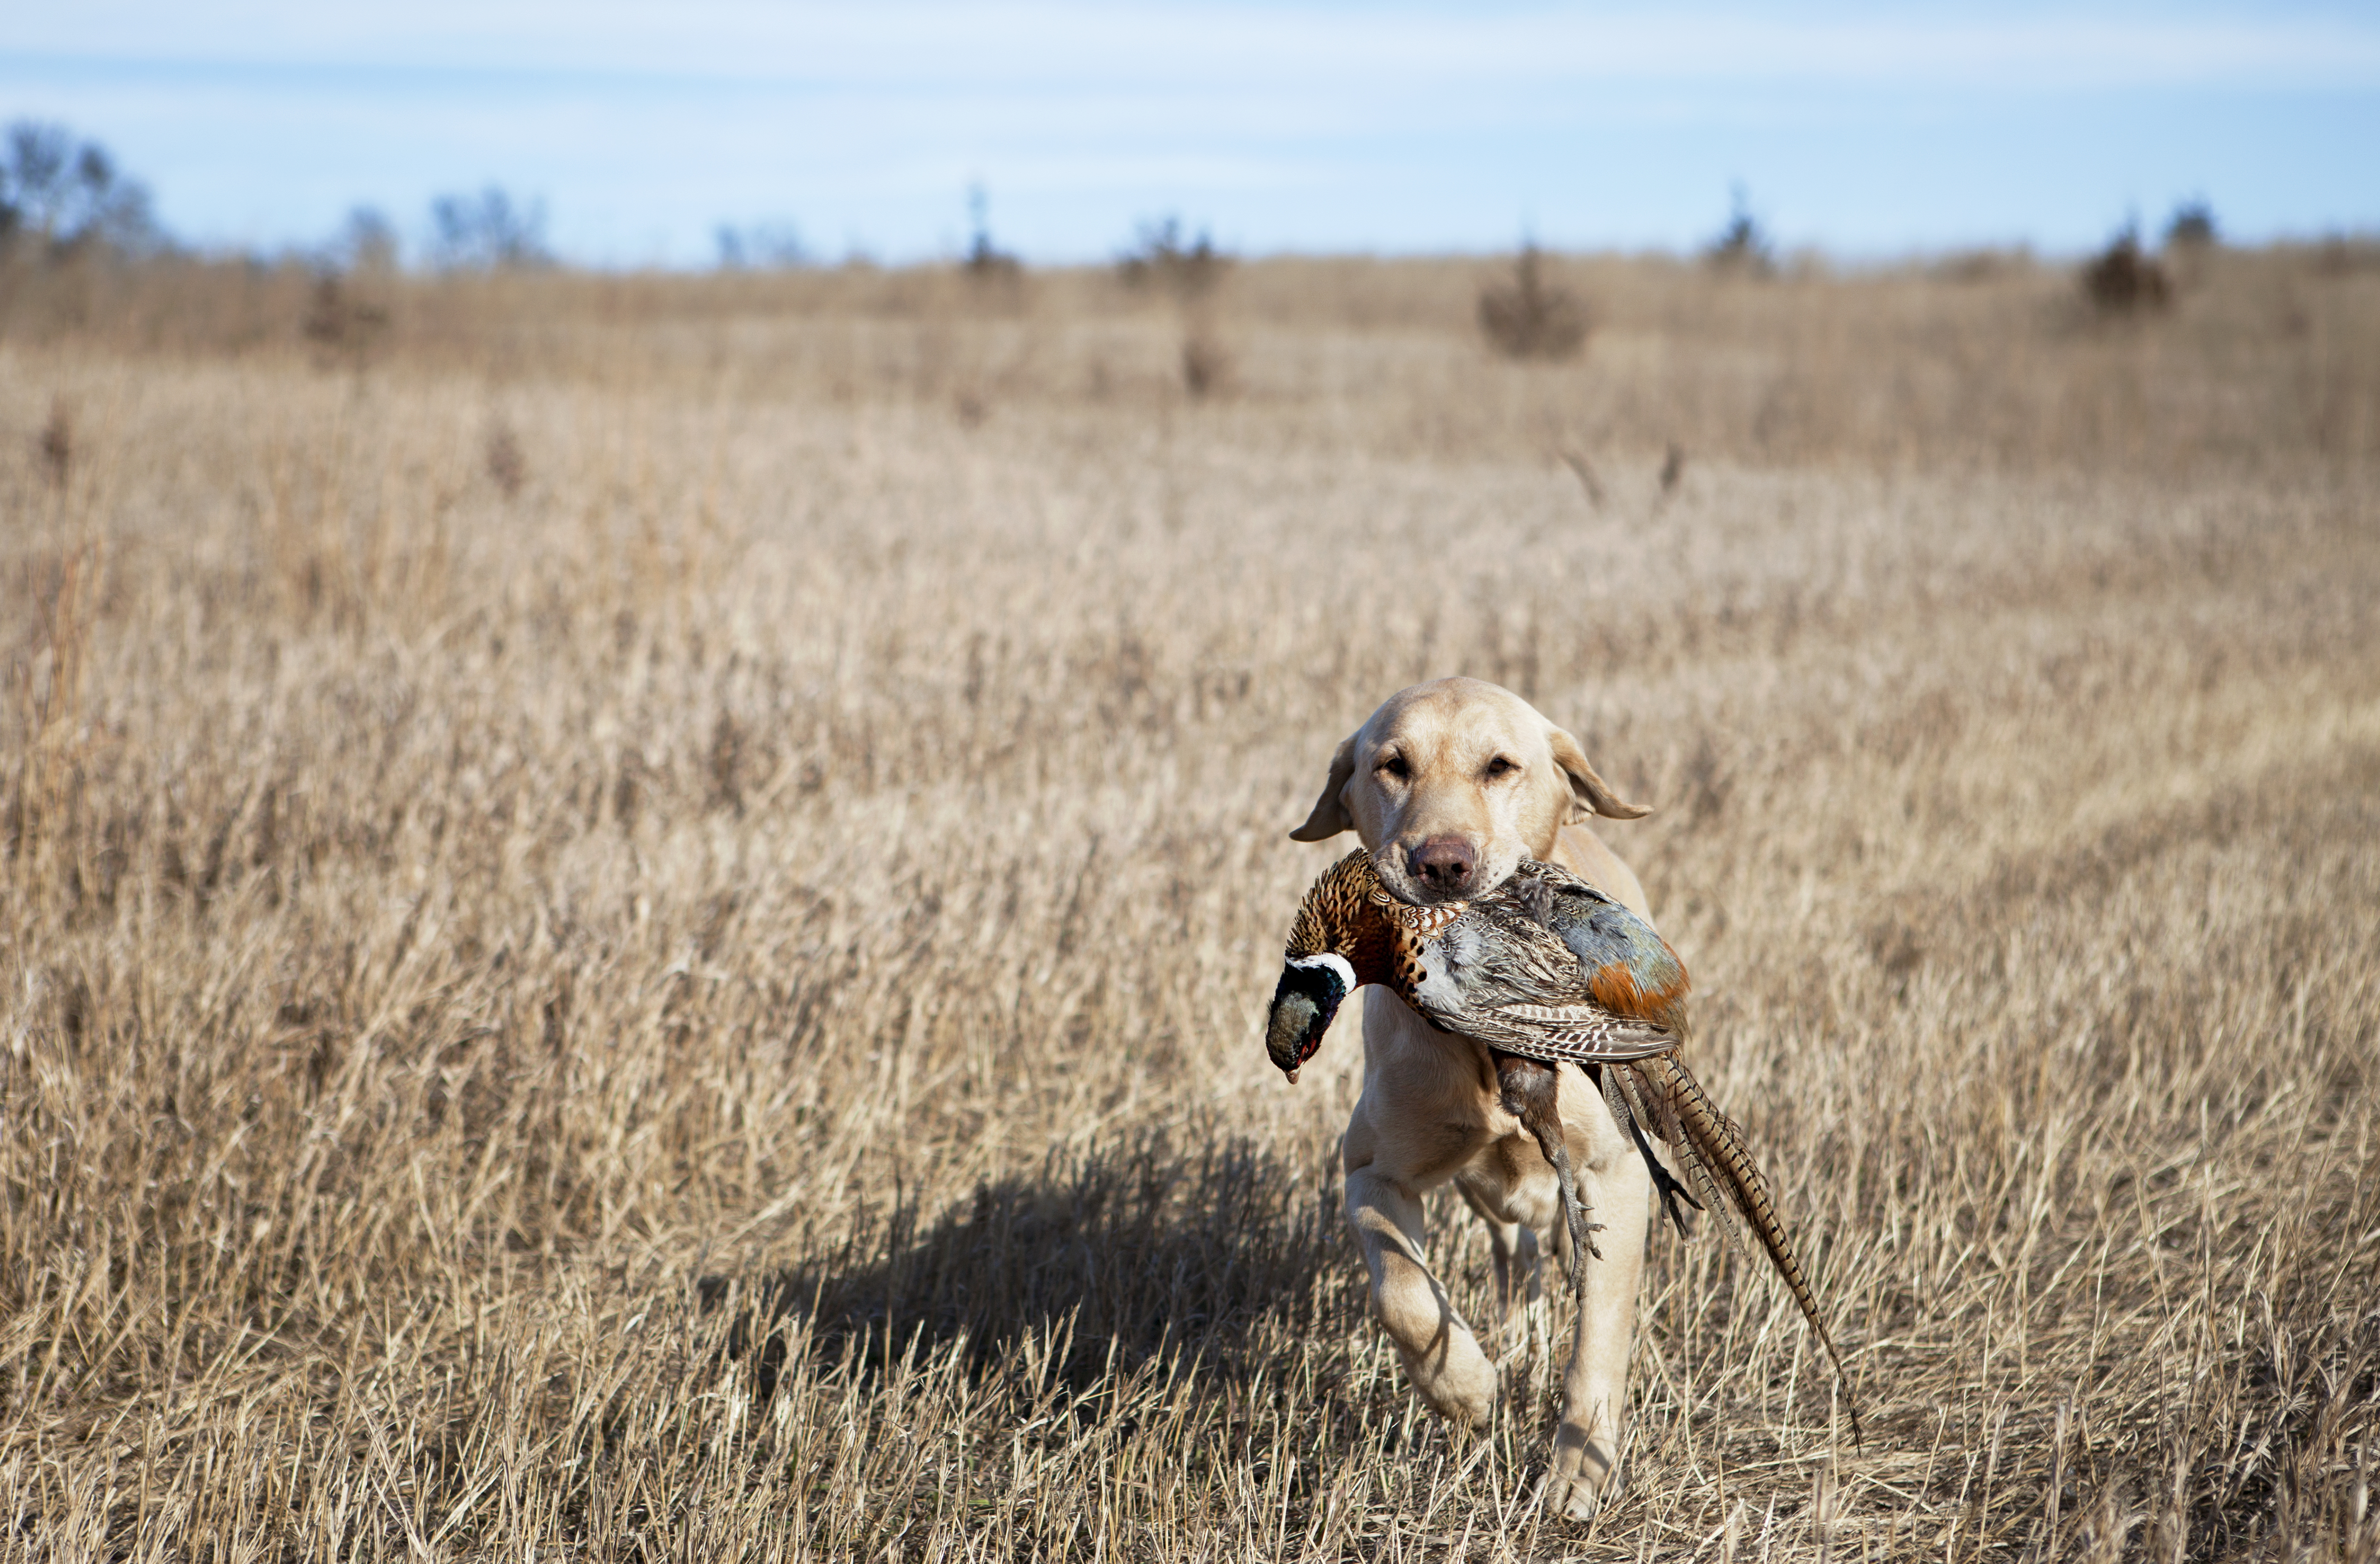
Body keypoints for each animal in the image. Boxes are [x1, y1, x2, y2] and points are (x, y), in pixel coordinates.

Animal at [1295, 671, 1666, 1514]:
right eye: (1392, 765)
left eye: (1500, 766)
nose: (1442, 863)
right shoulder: (1371, 1169)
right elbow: (1402, 1293)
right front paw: (1464, 1388)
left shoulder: (1617, 1173)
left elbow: (1600, 1332)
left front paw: (1578, 1467)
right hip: (1484, 1192)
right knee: (1510, 1254)